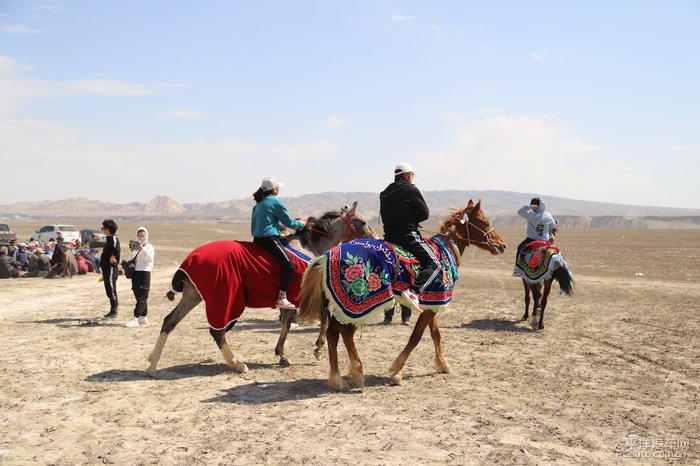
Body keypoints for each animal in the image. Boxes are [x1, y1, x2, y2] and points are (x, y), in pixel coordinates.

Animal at [145, 202, 374, 376]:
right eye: (363, 222)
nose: (373, 239)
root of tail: (190, 259)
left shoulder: (292, 299)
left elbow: (286, 323)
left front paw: (282, 354)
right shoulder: (305, 295)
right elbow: (322, 318)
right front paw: (318, 347)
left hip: (193, 295)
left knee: (170, 321)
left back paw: (152, 365)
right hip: (223, 299)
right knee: (216, 331)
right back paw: (237, 364)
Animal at [298, 198, 506, 392]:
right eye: (485, 221)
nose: (502, 245)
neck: (443, 253)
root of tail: (327, 256)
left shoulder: (432, 303)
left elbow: (435, 334)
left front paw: (443, 364)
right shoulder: (433, 301)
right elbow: (416, 336)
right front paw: (396, 371)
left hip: (342, 305)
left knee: (333, 333)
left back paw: (337, 379)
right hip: (358, 304)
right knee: (345, 333)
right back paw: (357, 373)